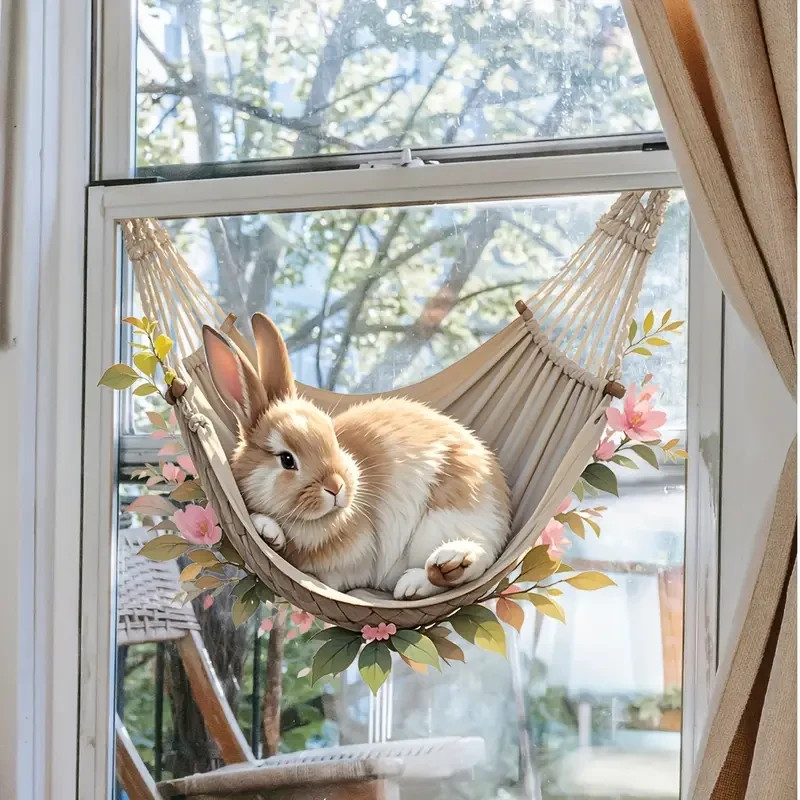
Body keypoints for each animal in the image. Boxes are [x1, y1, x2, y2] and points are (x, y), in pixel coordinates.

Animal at [202, 312, 511, 600]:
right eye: (287, 459)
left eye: (333, 439)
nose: (336, 486)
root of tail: (502, 515)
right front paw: (267, 530)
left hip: (443, 519)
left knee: (478, 555)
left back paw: (433, 573)